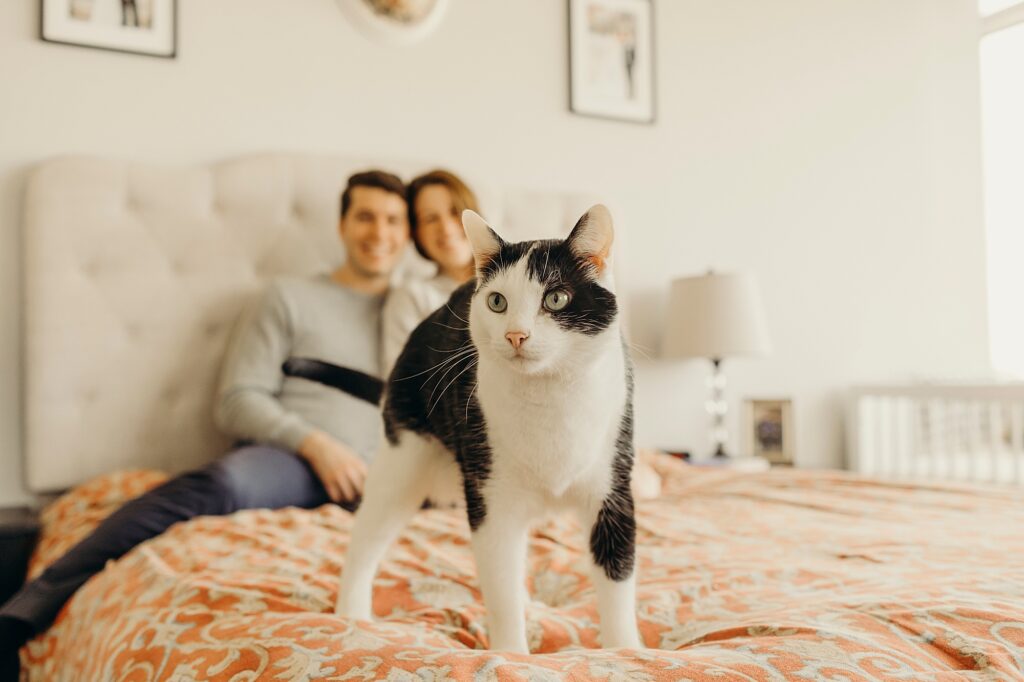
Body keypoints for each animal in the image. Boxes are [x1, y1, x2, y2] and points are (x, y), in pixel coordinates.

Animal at [290, 204, 638, 651]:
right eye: (497, 302)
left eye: (556, 298)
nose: (516, 335)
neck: (551, 398)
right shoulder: (490, 497)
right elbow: (500, 591)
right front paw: (511, 654)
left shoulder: (613, 493)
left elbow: (617, 584)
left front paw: (626, 651)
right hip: (404, 463)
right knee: (366, 539)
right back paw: (350, 613)